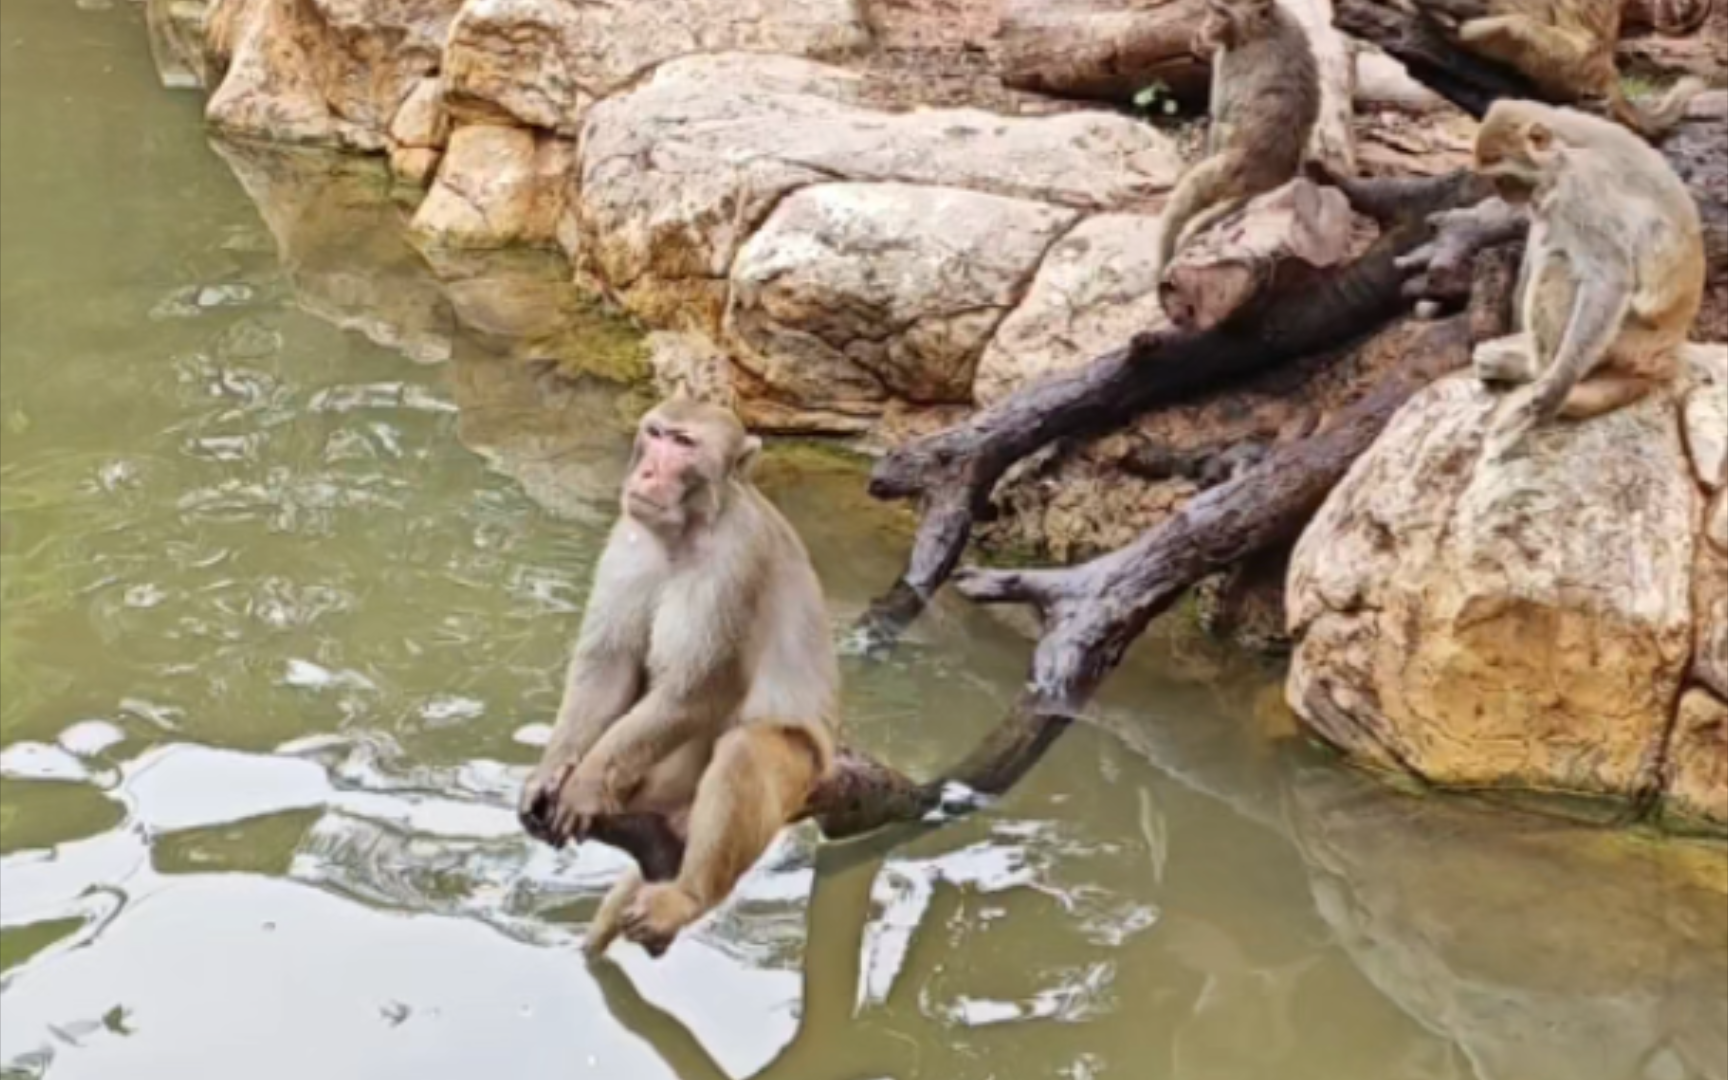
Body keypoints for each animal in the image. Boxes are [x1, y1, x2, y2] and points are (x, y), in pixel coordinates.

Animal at [511, 392, 836, 953]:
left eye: (684, 444)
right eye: (656, 433)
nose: (647, 472)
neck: (685, 534)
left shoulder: (737, 562)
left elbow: (696, 691)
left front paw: (584, 782)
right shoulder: (629, 537)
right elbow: (610, 664)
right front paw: (552, 772)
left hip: (801, 770)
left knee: (748, 748)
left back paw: (686, 896)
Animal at [1154, 0, 1327, 278]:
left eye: (1221, 12)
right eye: (1211, 9)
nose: (1204, 29)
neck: (1259, 30)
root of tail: (1274, 179)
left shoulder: (1228, 63)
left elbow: (1220, 115)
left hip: (1231, 172)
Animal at [1465, 95, 1707, 456]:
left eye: (1506, 179)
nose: (1507, 196)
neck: (1565, 149)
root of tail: (1668, 346)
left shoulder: (1580, 187)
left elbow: (1609, 278)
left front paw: (1555, 388)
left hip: (1624, 339)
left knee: (1559, 265)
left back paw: (1542, 374)